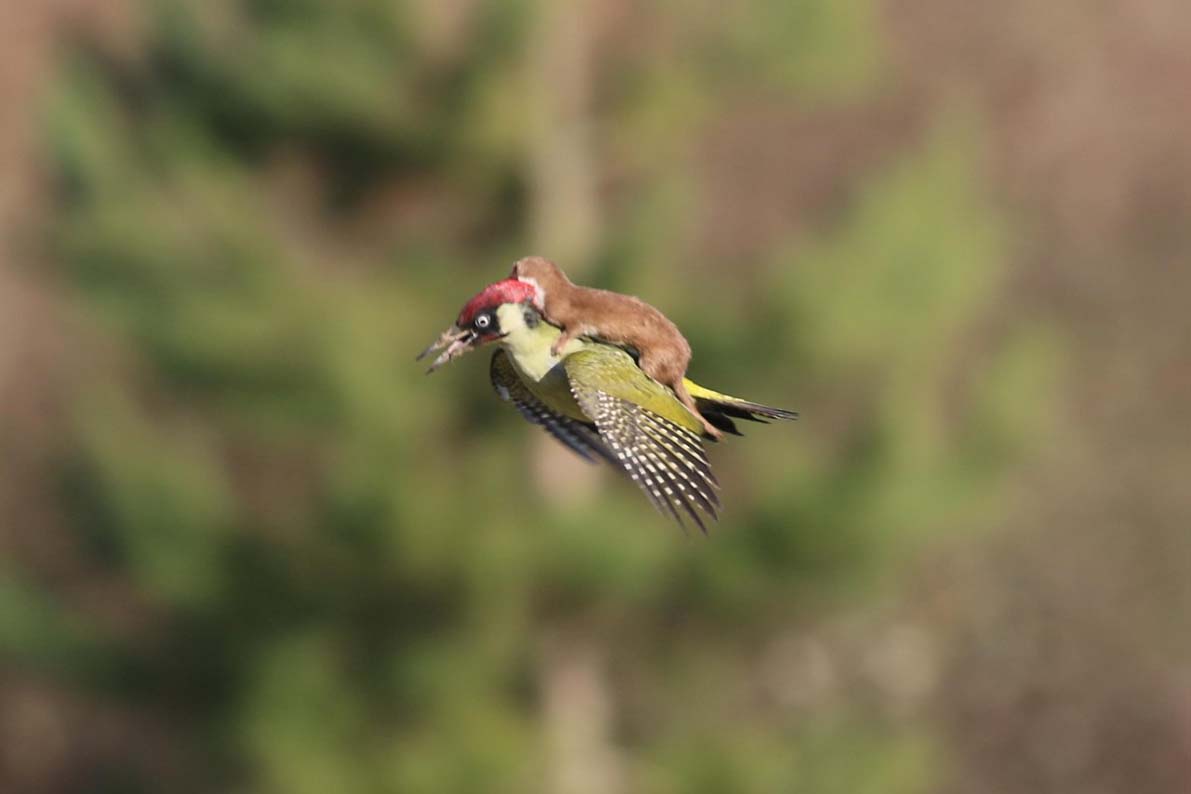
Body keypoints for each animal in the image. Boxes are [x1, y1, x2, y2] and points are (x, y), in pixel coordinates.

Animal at [507, 255, 719, 438]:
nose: (506, 277)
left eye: (512, 272)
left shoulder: (573, 316)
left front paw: (557, 346)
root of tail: (681, 367)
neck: (555, 295)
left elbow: (573, 329)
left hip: (655, 357)